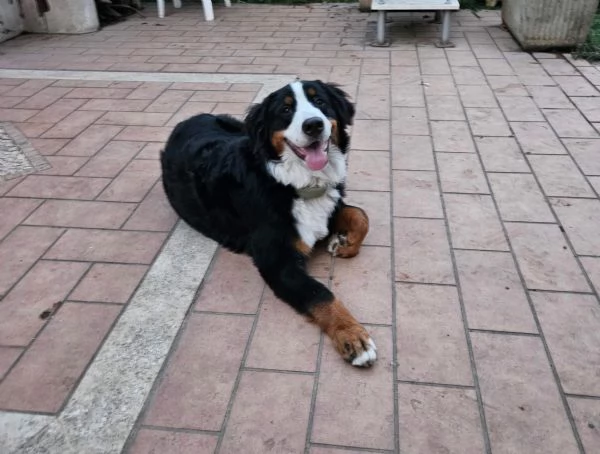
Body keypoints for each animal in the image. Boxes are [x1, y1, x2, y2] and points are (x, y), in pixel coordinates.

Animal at [159, 80, 376, 368]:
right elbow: (321, 294)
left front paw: (344, 244)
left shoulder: (330, 206)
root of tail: (188, 120)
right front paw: (352, 336)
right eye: (286, 109)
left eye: (320, 102)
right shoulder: (278, 261)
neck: (296, 185)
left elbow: (361, 216)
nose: (314, 125)